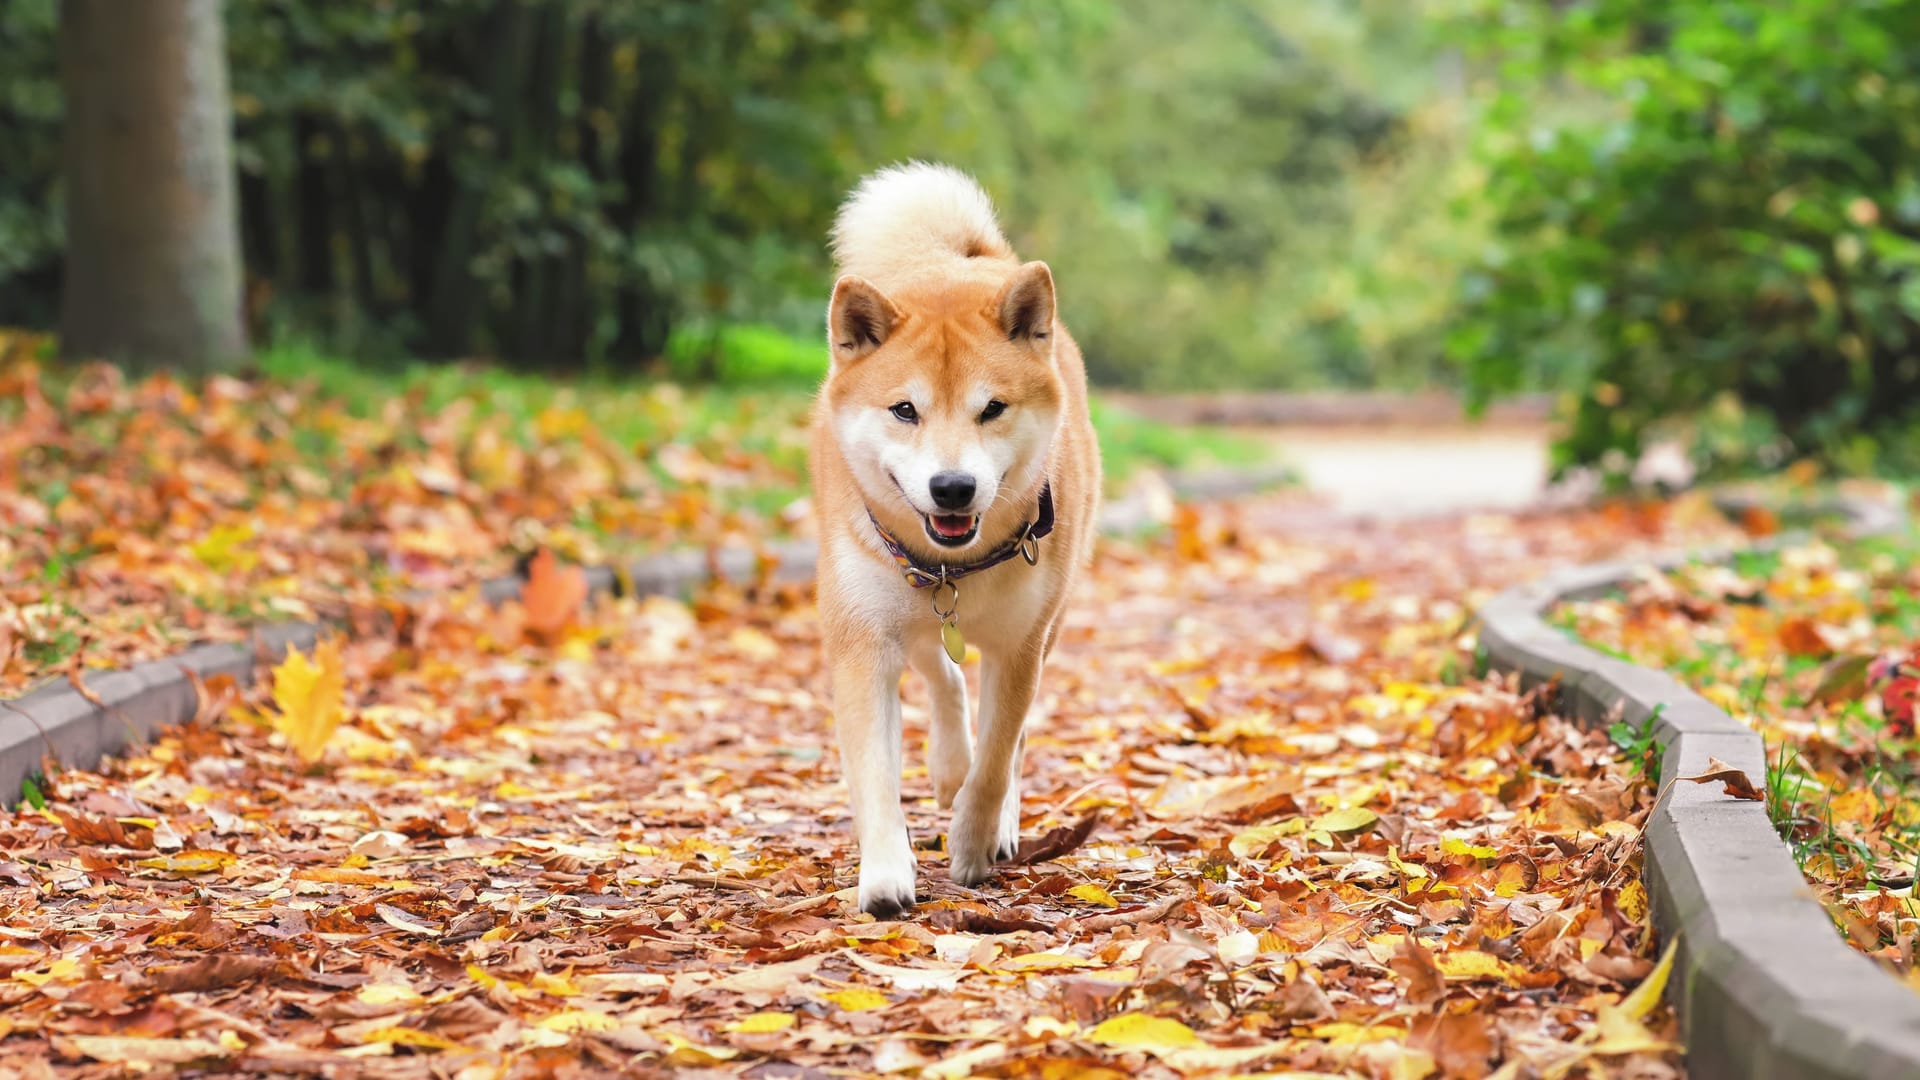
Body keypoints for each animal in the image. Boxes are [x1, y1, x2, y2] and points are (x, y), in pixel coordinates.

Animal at [810, 161, 1105, 914]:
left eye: (992, 408)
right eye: (904, 410)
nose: (951, 488)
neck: (958, 569)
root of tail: (964, 261)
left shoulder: (1020, 646)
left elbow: (1000, 758)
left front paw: (974, 843)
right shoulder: (862, 642)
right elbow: (875, 773)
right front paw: (886, 874)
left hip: (1050, 620)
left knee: (1009, 738)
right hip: (899, 608)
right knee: (939, 673)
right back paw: (947, 763)